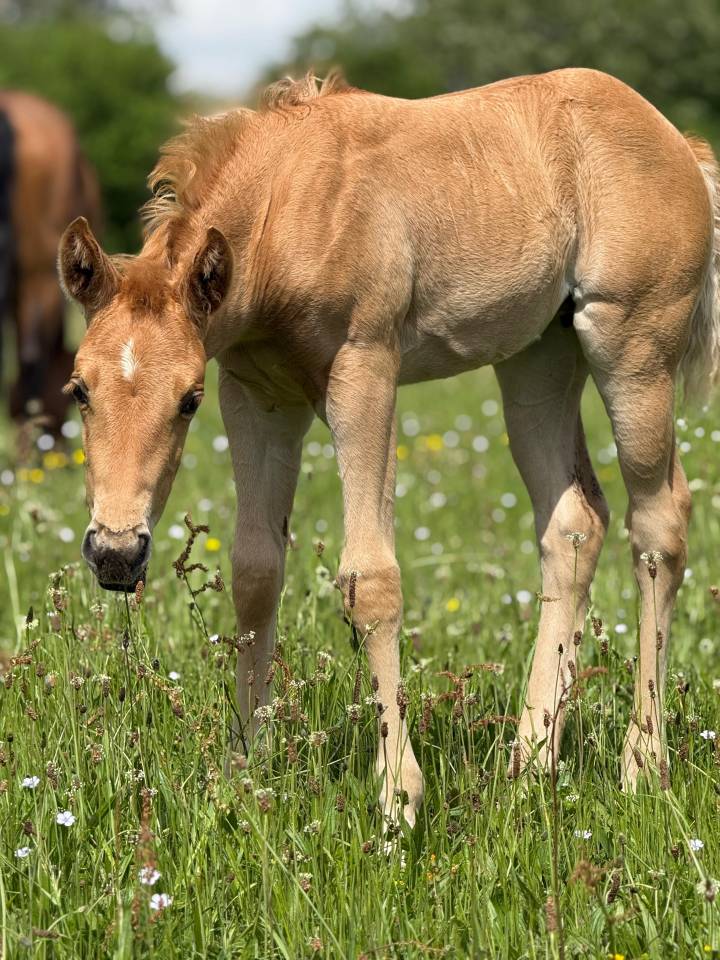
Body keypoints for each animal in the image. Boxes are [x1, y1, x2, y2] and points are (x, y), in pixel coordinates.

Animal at [57, 68, 719, 827]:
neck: (288, 206)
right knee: (574, 522)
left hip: (632, 347)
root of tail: (680, 143)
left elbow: (369, 579)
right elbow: (255, 572)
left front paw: (398, 795)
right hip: (537, 361)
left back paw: (643, 764)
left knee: (660, 524)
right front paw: (243, 770)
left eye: (186, 400)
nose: (116, 553)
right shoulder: (258, 396)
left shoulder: (365, 370)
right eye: (79, 389)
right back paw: (528, 764)